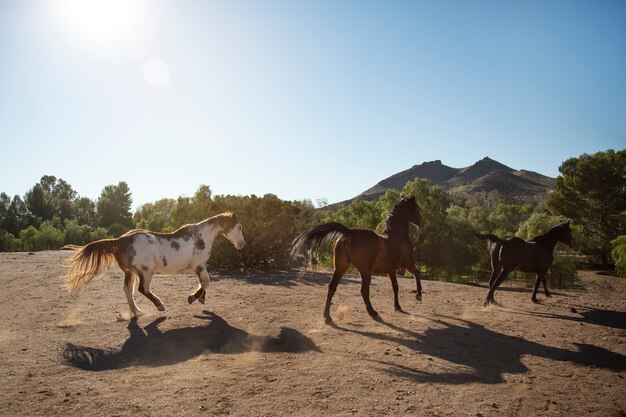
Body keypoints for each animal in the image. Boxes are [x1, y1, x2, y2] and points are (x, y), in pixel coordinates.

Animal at [66, 213, 245, 316]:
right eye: (239, 227)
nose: (242, 245)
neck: (201, 236)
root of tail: (119, 240)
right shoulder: (199, 265)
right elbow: (206, 282)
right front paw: (193, 297)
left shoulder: (198, 267)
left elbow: (203, 283)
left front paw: (200, 298)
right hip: (146, 271)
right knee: (142, 289)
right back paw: (159, 305)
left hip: (130, 272)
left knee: (128, 290)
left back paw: (137, 312)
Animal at [292, 193, 424, 324]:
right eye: (417, 208)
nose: (422, 223)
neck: (396, 237)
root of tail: (348, 232)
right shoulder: (407, 264)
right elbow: (417, 273)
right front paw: (418, 295)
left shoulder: (391, 270)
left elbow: (395, 287)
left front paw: (397, 306)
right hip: (365, 271)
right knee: (364, 291)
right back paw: (373, 312)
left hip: (341, 268)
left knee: (332, 287)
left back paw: (327, 317)